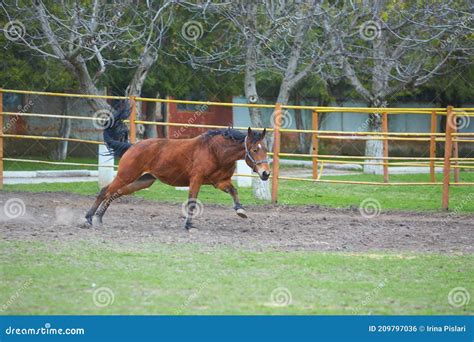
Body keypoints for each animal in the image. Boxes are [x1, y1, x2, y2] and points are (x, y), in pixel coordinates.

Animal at [85, 115, 270, 230]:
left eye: (265, 149)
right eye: (254, 150)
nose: (265, 174)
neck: (215, 151)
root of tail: (132, 146)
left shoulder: (220, 182)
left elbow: (233, 190)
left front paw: (240, 210)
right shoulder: (196, 179)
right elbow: (192, 202)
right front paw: (188, 225)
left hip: (142, 181)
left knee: (115, 193)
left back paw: (99, 218)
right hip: (126, 175)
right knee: (105, 191)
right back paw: (88, 218)